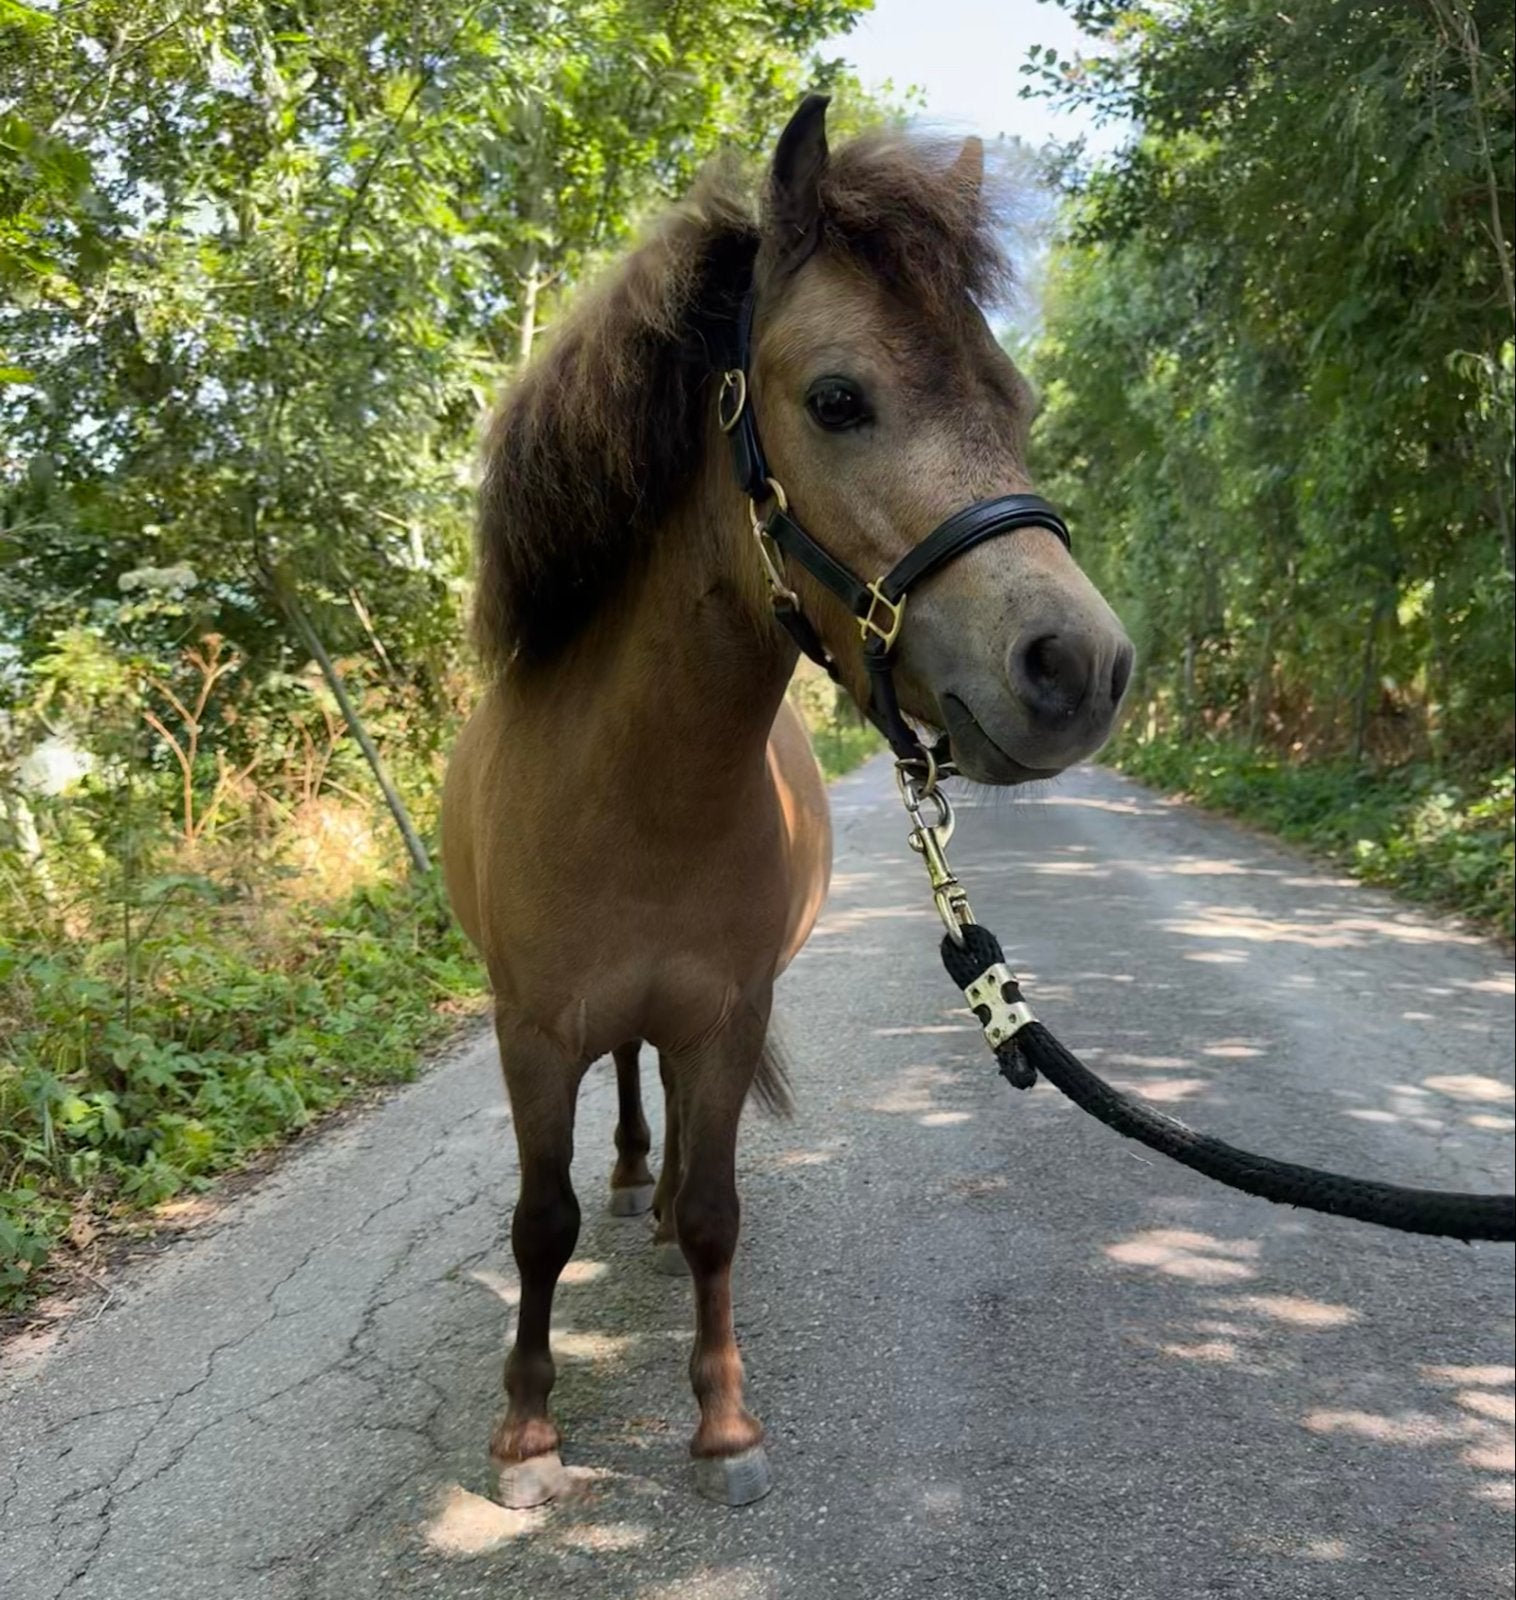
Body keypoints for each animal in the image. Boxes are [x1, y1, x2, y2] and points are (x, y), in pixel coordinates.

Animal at [441, 95, 1133, 1508]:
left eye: (1016, 402)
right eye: (837, 399)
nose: (1079, 668)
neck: (633, 799)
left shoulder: (725, 1014)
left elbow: (718, 1217)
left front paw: (722, 1428)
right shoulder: (529, 1033)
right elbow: (539, 1225)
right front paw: (527, 1433)